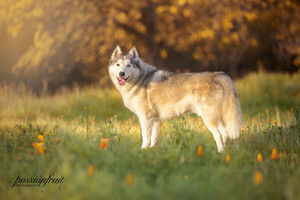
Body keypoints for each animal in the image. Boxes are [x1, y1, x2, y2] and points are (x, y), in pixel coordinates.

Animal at [108, 45, 241, 152]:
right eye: (118, 64)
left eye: (129, 65)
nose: (121, 73)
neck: (140, 80)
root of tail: (219, 74)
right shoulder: (155, 120)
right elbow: (153, 139)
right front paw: (151, 150)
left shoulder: (145, 118)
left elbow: (145, 138)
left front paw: (142, 150)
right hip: (218, 119)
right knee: (224, 134)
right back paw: (225, 152)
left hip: (209, 119)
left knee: (218, 135)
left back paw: (219, 153)